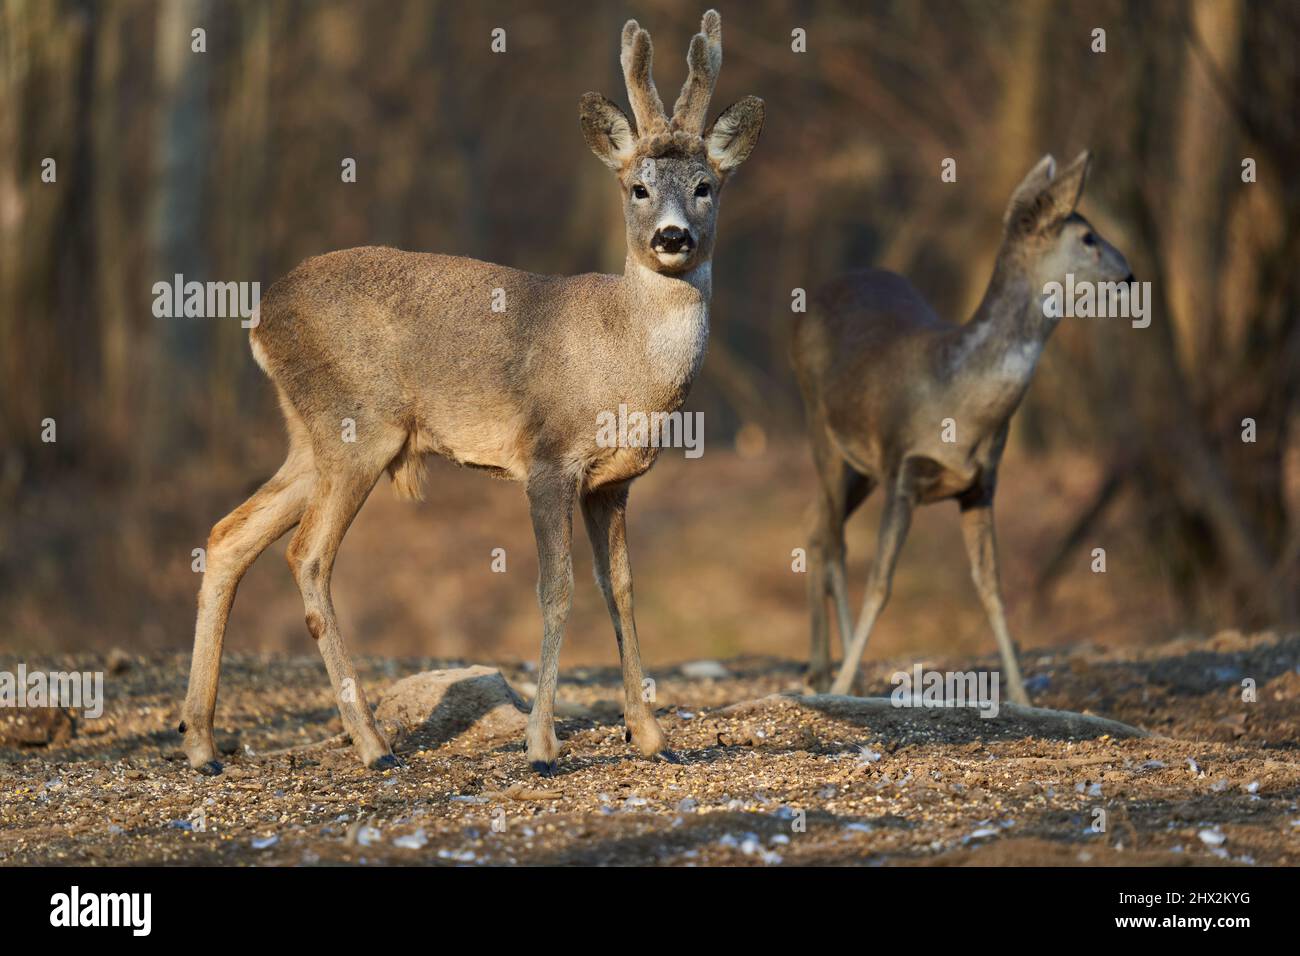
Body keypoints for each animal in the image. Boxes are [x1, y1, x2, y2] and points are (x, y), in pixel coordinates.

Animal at [178, 10, 763, 776]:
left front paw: (652, 735)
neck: (624, 359)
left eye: (705, 185)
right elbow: (556, 590)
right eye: (637, 187)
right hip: (357, 426)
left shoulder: (614, 482)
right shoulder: (547, 457)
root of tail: (259, 316)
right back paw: (372, 745)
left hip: (310, 435)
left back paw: (201, 742)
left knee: (228, 535)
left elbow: (623, 590)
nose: (672, 237)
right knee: (306, 555)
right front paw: (541, 744)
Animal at [792, 152, 1134, 701]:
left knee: (816, 523)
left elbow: (992, 587)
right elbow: (882, 584)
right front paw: (845, 682)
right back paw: (838, 677)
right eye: (1087, 237)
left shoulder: (981, 485)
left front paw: (1022, 695)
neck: (958, 400)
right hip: (817, 421)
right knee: (834, 538)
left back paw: (823, 668)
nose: (1129, 275)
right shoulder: (904, 468)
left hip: (860, 465)